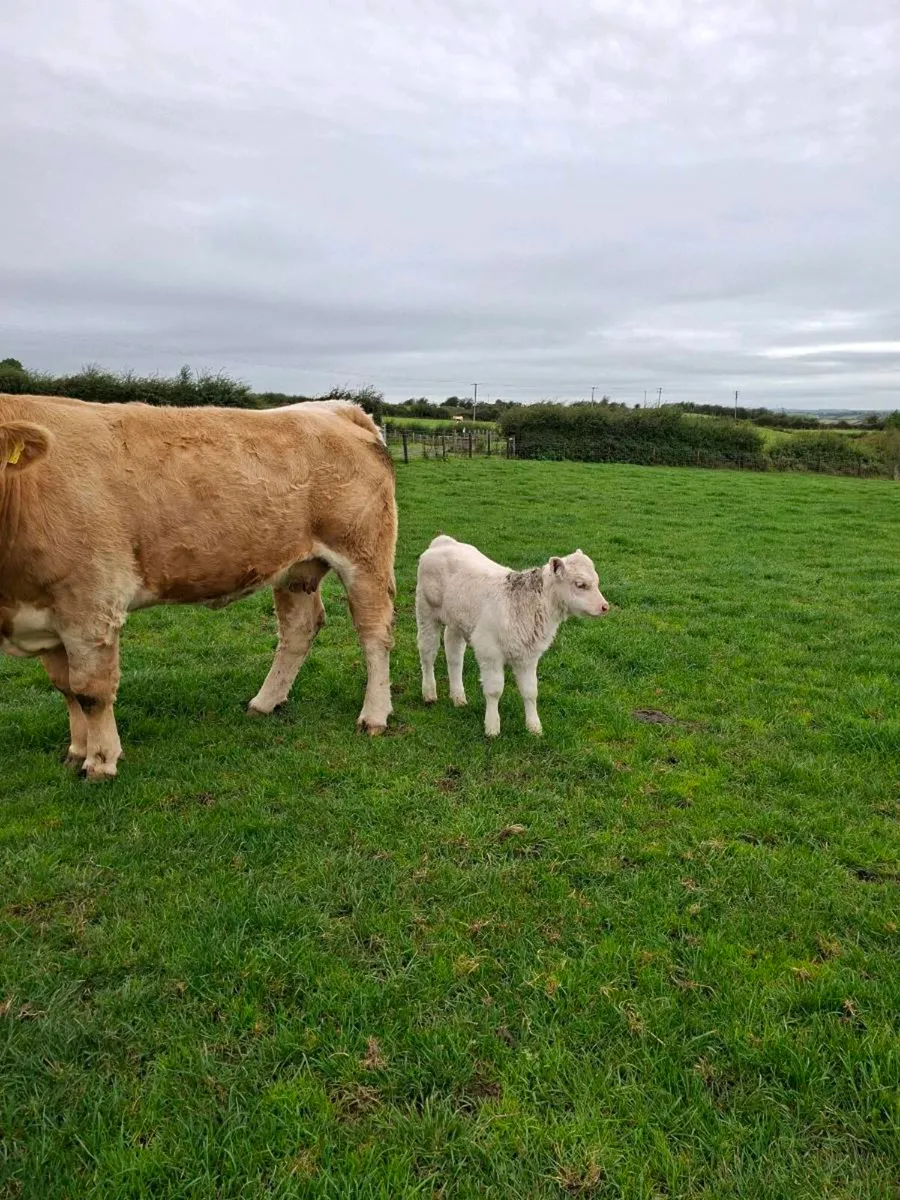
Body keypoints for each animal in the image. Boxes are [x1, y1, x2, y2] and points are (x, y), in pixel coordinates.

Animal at [0, 393, 397, 779]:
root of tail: (335, 408)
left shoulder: (91, 605)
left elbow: (89, 693)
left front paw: (100, 762)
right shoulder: (47, 616)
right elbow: (65, 688)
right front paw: (76, 752)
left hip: (364, 556)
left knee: (374, 633)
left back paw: (374, 715)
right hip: (296, 569)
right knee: (299, 630)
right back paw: (264, 702)